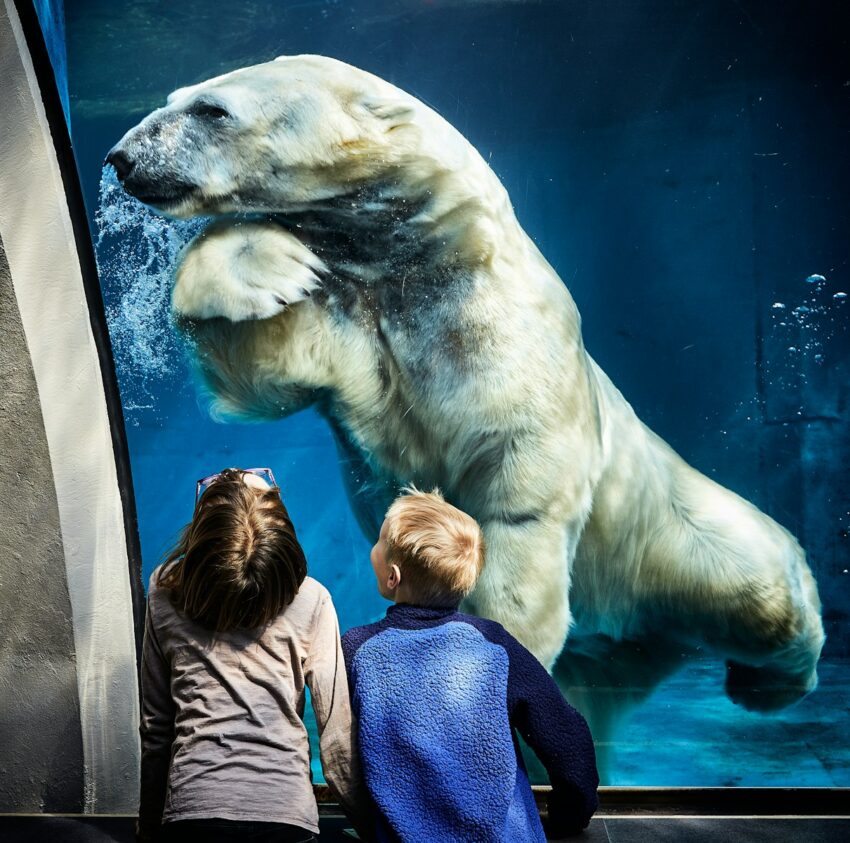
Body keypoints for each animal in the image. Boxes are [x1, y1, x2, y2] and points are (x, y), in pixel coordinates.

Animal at [107, 55, 824, 761]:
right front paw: (263, 264)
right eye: (175, 96)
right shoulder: (353, 316)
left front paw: (489, 638)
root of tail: (620, 640)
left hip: (660, 530)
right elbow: (268, 367)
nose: (121, 157)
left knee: (758, 586)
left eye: (212, 109)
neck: (408, 253)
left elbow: (519, 492)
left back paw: (767, 682)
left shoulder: (501, 329)